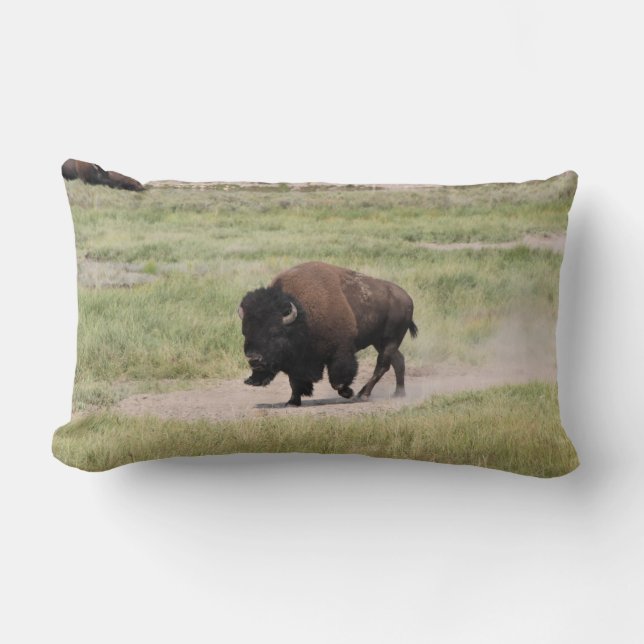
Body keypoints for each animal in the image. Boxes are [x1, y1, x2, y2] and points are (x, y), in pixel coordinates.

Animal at [238, 261, 418, 406]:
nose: (254, 358)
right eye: (245, 332)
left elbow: (337, 379)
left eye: (274, 333)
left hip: (390, 340)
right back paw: (398, 394)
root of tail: (407, 298)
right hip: (379, 342)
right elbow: (294, 380)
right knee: (398, 361)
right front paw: (292, 401)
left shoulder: (341, 351)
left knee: (382, 365)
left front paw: (347, 392)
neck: (303, 316)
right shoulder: (296, 360)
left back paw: (363, 394)